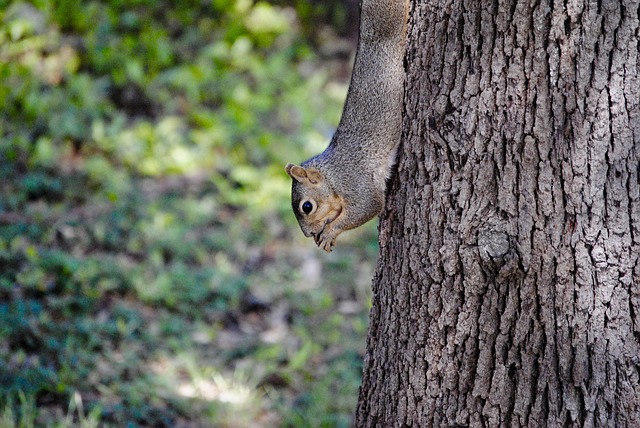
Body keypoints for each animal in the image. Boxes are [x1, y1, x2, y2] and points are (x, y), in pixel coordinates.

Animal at [286, 0, 408, 251]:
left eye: (307, 207)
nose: (308, 234)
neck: (332, 175)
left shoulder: (356, 183)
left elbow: (368, 206)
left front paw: (330, 232)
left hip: (390, 20)